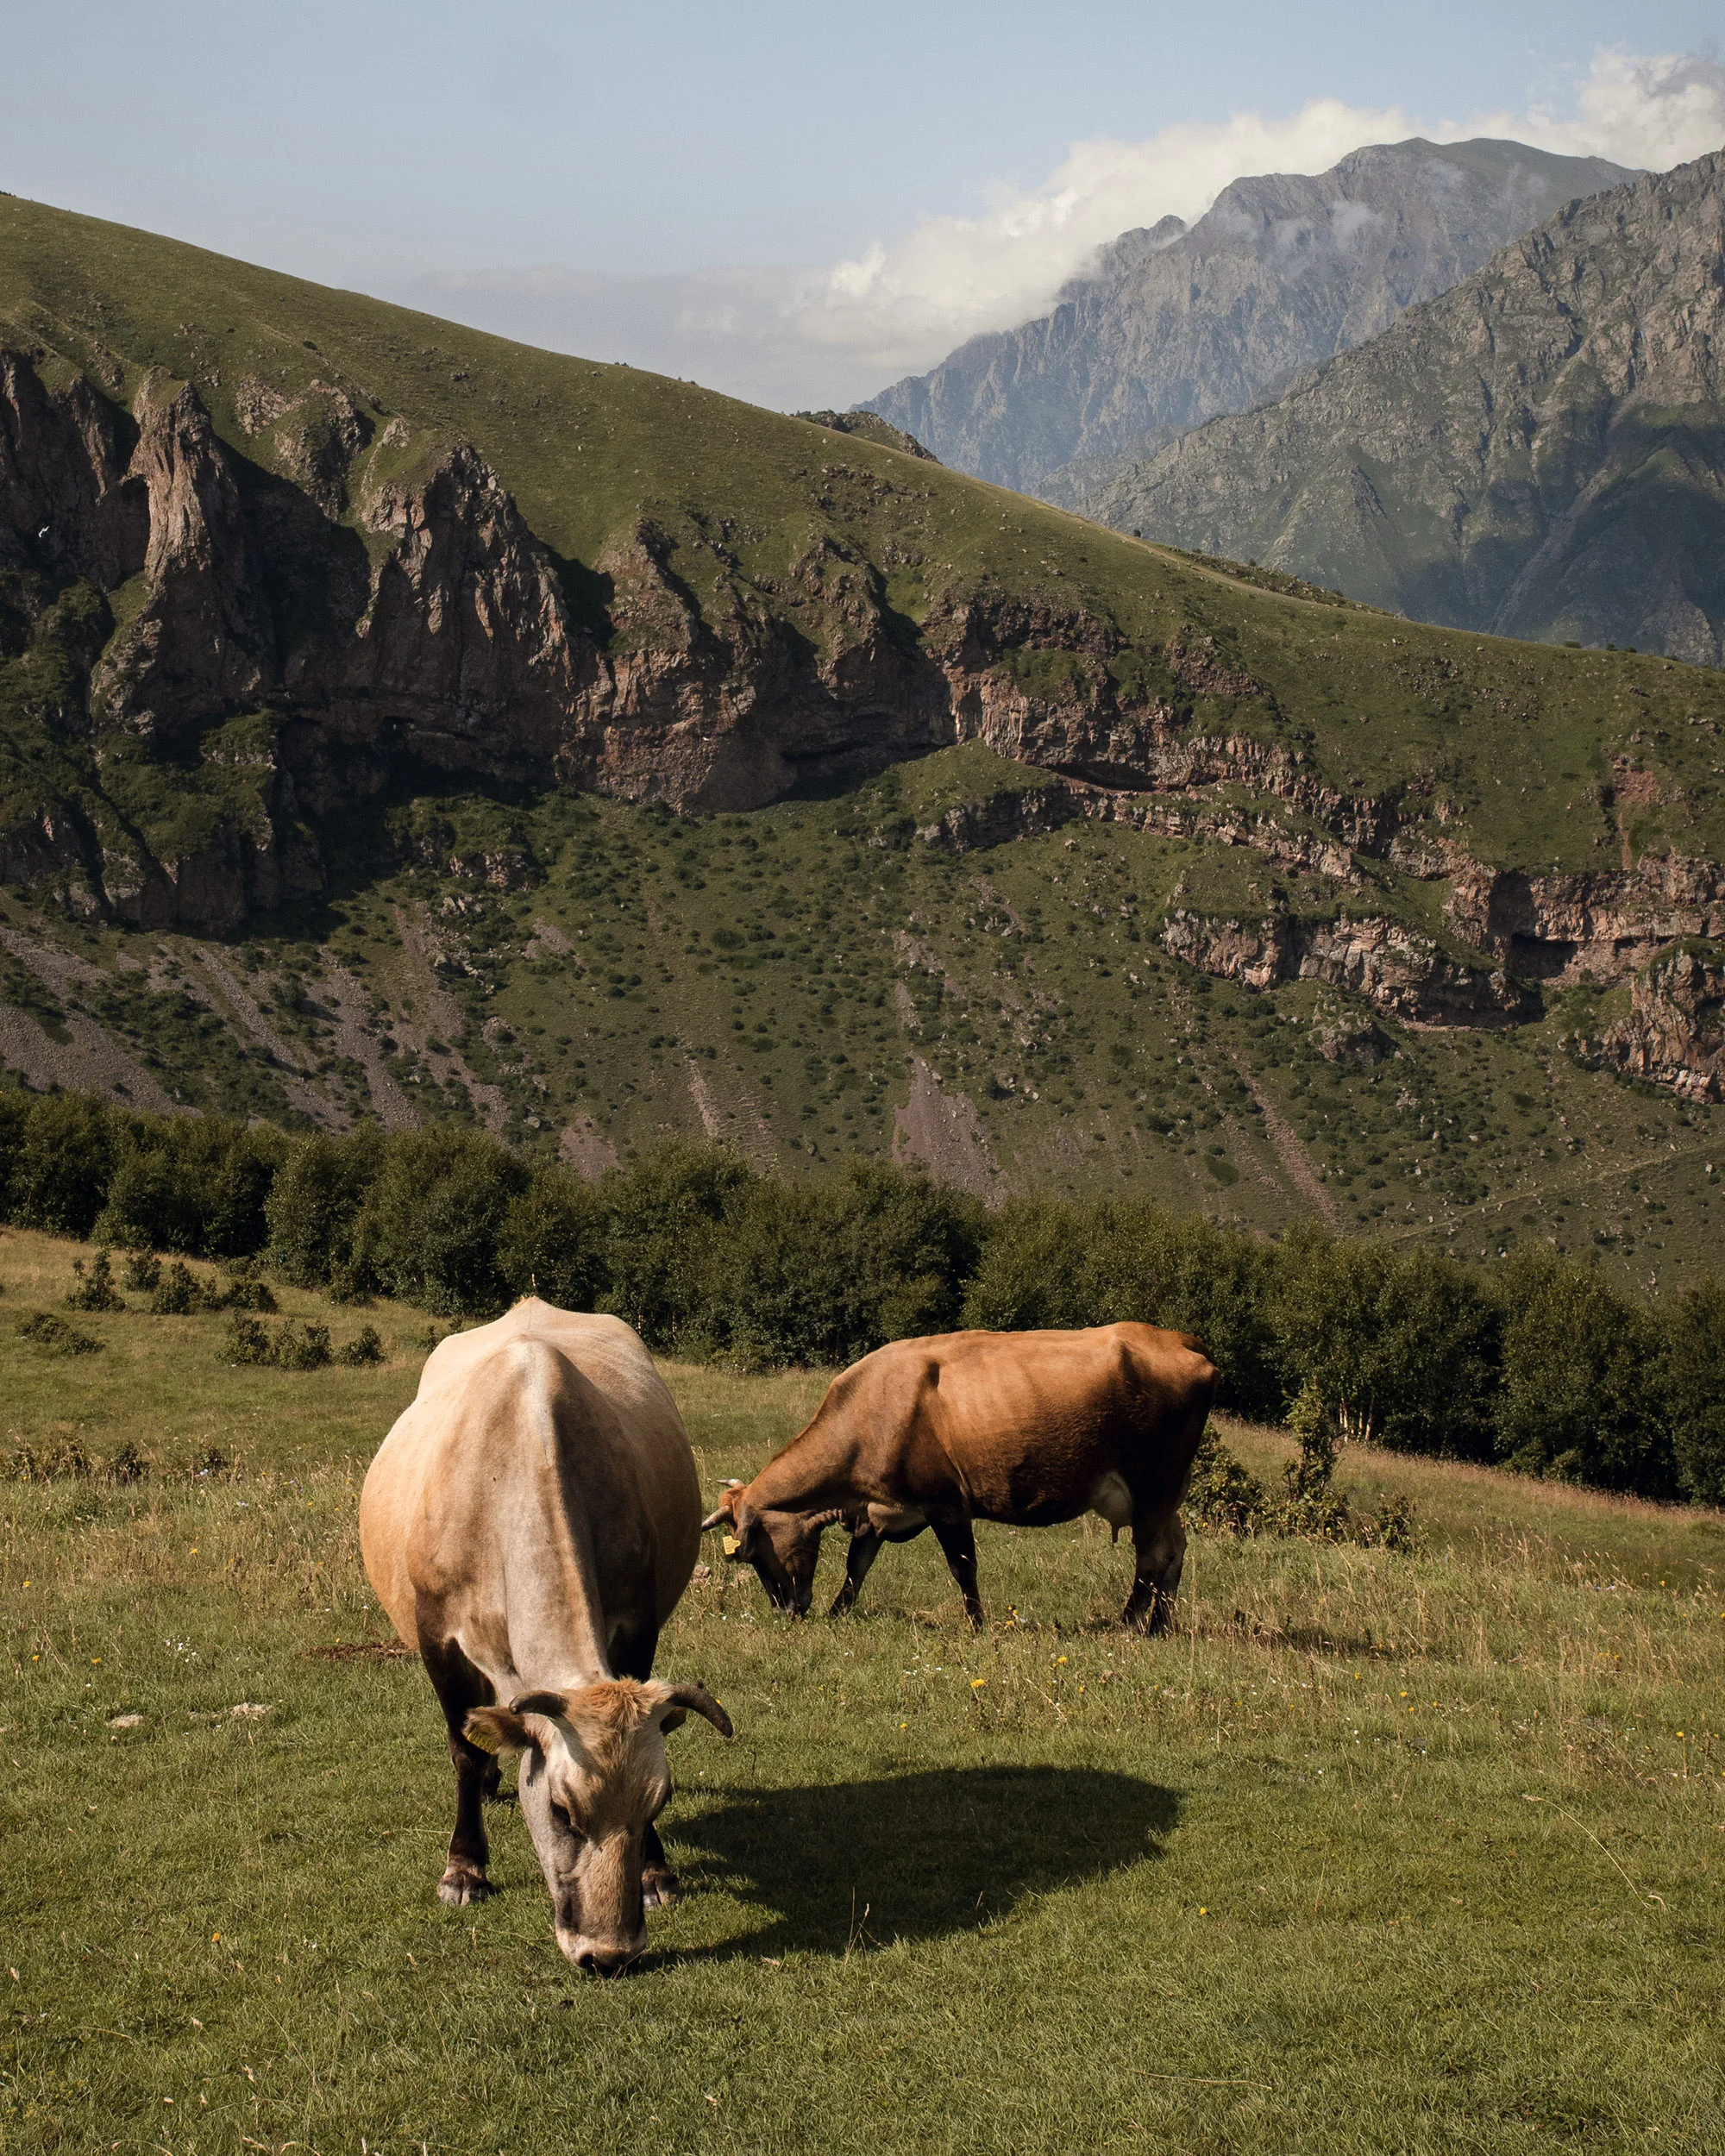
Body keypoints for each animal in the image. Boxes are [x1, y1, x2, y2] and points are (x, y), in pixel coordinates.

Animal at [359, 1299, 732, 1977]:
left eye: (658, 1804)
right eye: (561, 1810)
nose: (609, 1955)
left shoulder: (638, 1625)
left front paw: (656, 1872)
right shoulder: (438, 1641)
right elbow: (463, 1748)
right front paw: (464, 1868)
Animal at [701, 1323, 1217, 1631]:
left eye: (750, 1552)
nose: (785, 1609)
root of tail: (1180, 1339)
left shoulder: (945, 1502)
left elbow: (962, 1566)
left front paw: (977, 1625)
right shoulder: (878, 1508)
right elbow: (857, 1565)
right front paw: (838, 1611)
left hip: (1154, 1485)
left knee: (1151, 1558)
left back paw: (1129, 1625)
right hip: (1166, 1496)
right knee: (1174, 1549)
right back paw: (1160, 1627)